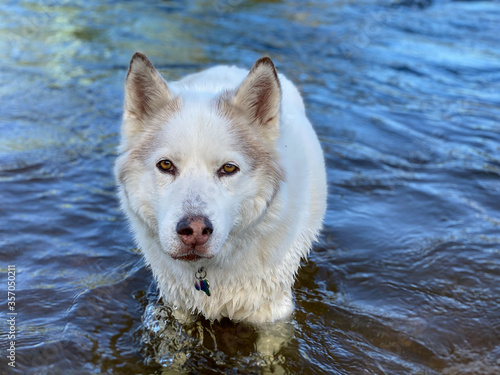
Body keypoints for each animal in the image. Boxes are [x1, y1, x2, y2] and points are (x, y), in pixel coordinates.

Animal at [114, 53, 326, 326]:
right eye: (166, 165)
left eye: (228, 168)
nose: (194, 230)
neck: (207, 269)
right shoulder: (178, 305)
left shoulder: (273, 312)